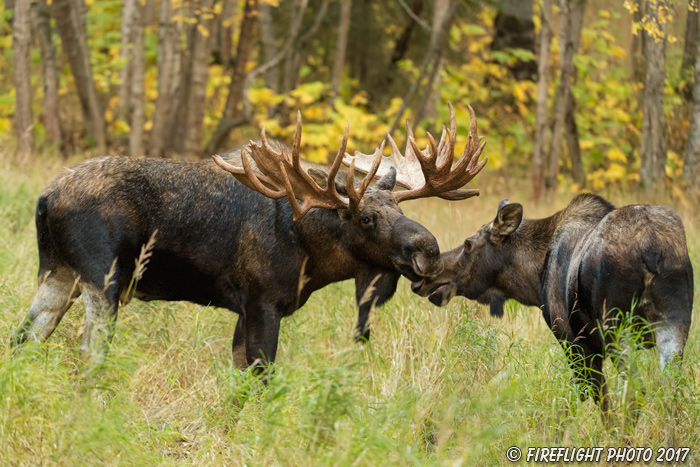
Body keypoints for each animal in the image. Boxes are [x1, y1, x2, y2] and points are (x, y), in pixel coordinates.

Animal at [13, 104, 490, 374]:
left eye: (402, 211)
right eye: (369, 217)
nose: (428, 249)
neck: (314, 258)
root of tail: (44, 199)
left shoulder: (245, 308)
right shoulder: (263, 301)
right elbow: (261, 380)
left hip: (59, 274)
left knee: (24, 337)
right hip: (103, 279)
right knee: (88, 353)